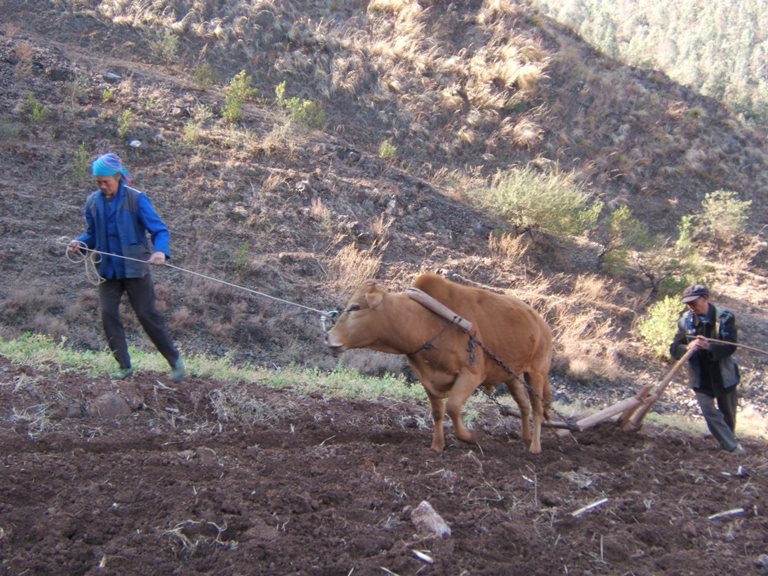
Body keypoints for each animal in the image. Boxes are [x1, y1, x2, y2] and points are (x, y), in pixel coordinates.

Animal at [324, 274, 552, 454]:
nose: (328, 337)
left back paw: (535, 447)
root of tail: (541, 322)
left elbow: (452, 407)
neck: (426, 323)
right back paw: (525, 437)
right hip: (512, 375)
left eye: (355, 307)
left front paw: (470, 436)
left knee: (537, 409)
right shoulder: (428, 380)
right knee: (524, 406)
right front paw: (437, 446)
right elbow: (437, 413)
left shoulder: (471, 375)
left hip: (537, 373)